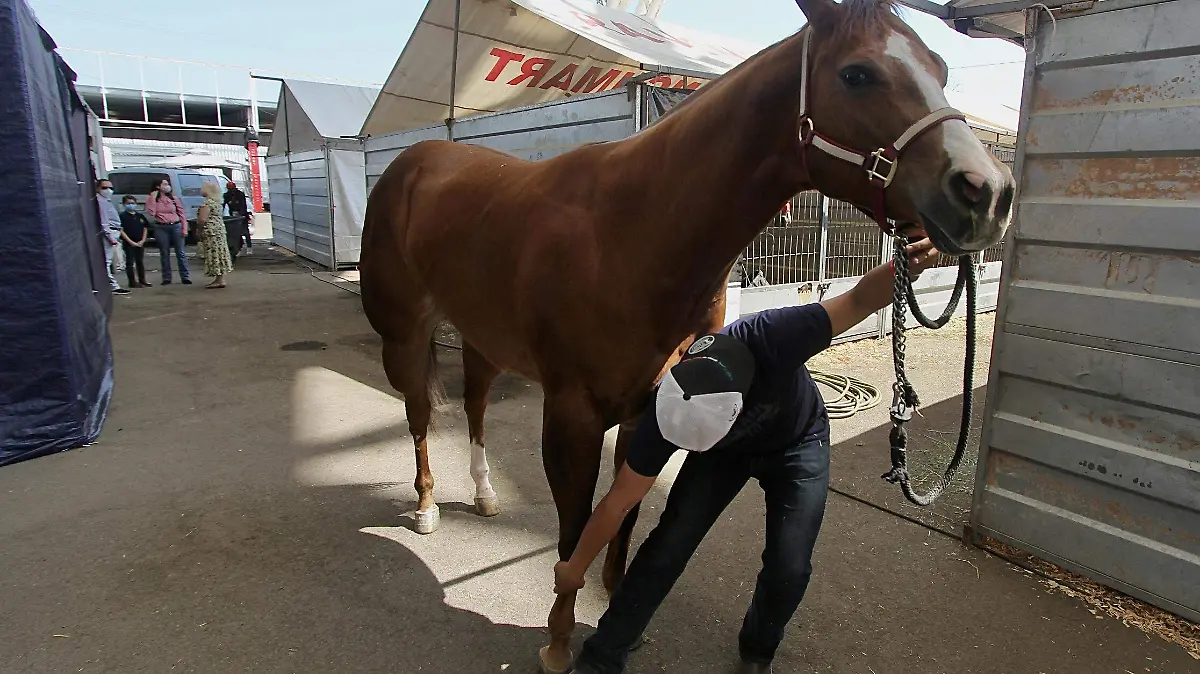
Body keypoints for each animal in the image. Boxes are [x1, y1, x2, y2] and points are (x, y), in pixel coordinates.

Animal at [359, 0, 1015, 670]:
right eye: (857, 74)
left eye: (939, 67)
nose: (989, 192)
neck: (629, 232)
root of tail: (411, 163)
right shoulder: (572, 414)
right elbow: (574, 523)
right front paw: (560, 639)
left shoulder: (645, 408)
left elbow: (623, 517)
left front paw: (617, 605)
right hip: (404, 334)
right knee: (419, 414)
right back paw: (427, 507)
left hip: (484, 336)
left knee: (474, 404)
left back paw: (486, 495)